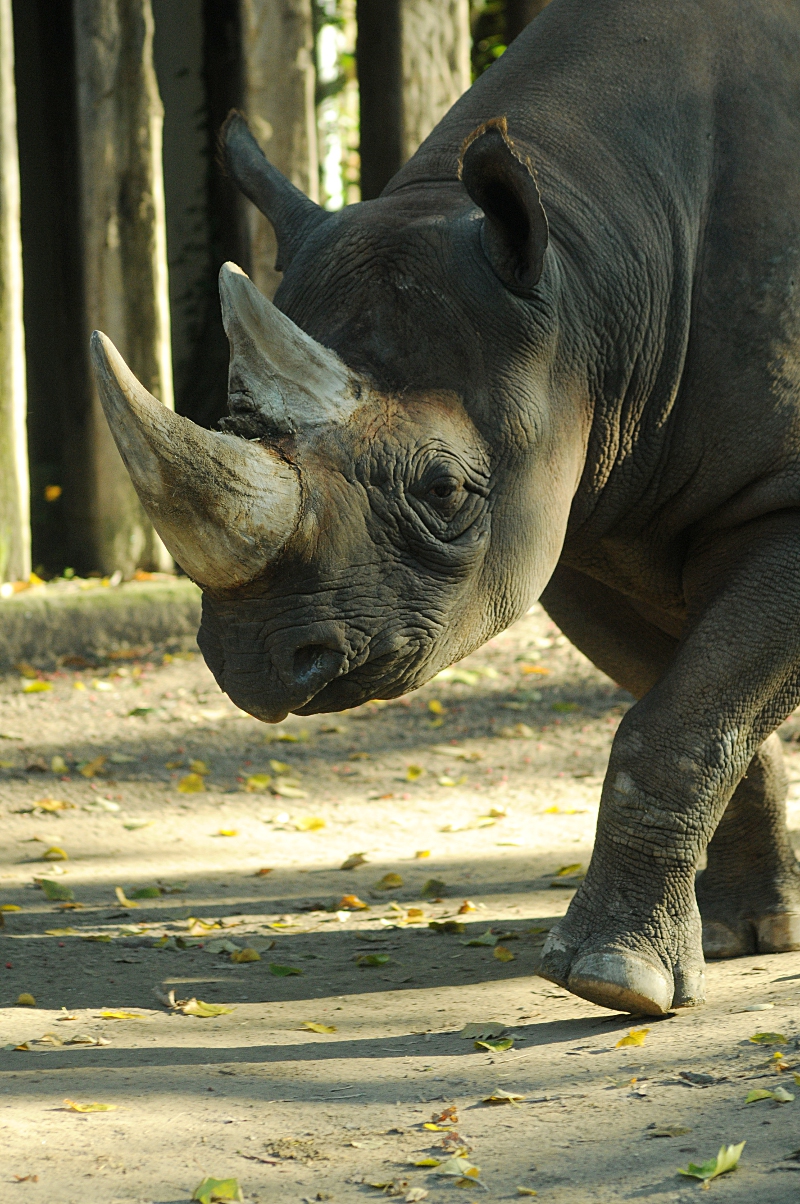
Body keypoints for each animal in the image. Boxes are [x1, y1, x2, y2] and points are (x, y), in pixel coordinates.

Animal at [90, 0, 800, 1017]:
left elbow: (684, 716)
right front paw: (746, 933)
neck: (594, 276)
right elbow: (693, 702)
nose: (253, 665)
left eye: (444, 492)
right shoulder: (580, 514)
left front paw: (612, 979)